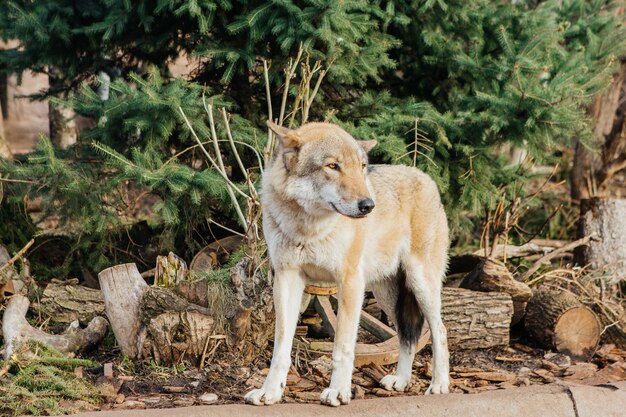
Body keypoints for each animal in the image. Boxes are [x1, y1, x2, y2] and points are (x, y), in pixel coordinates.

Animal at [245, 120, 448, 406]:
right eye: (332, 166)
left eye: (361, 166)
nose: (368, 205)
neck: (308, 230)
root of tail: (425, 176)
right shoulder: (286, 279)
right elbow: (281, 348)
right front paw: (270, 392)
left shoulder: (349, 283)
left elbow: (342, 348)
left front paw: (338, 392)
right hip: (387, 295)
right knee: (407, 335)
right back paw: (401, 380)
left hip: (421, 285)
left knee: (440, 331)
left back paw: (439, 384)